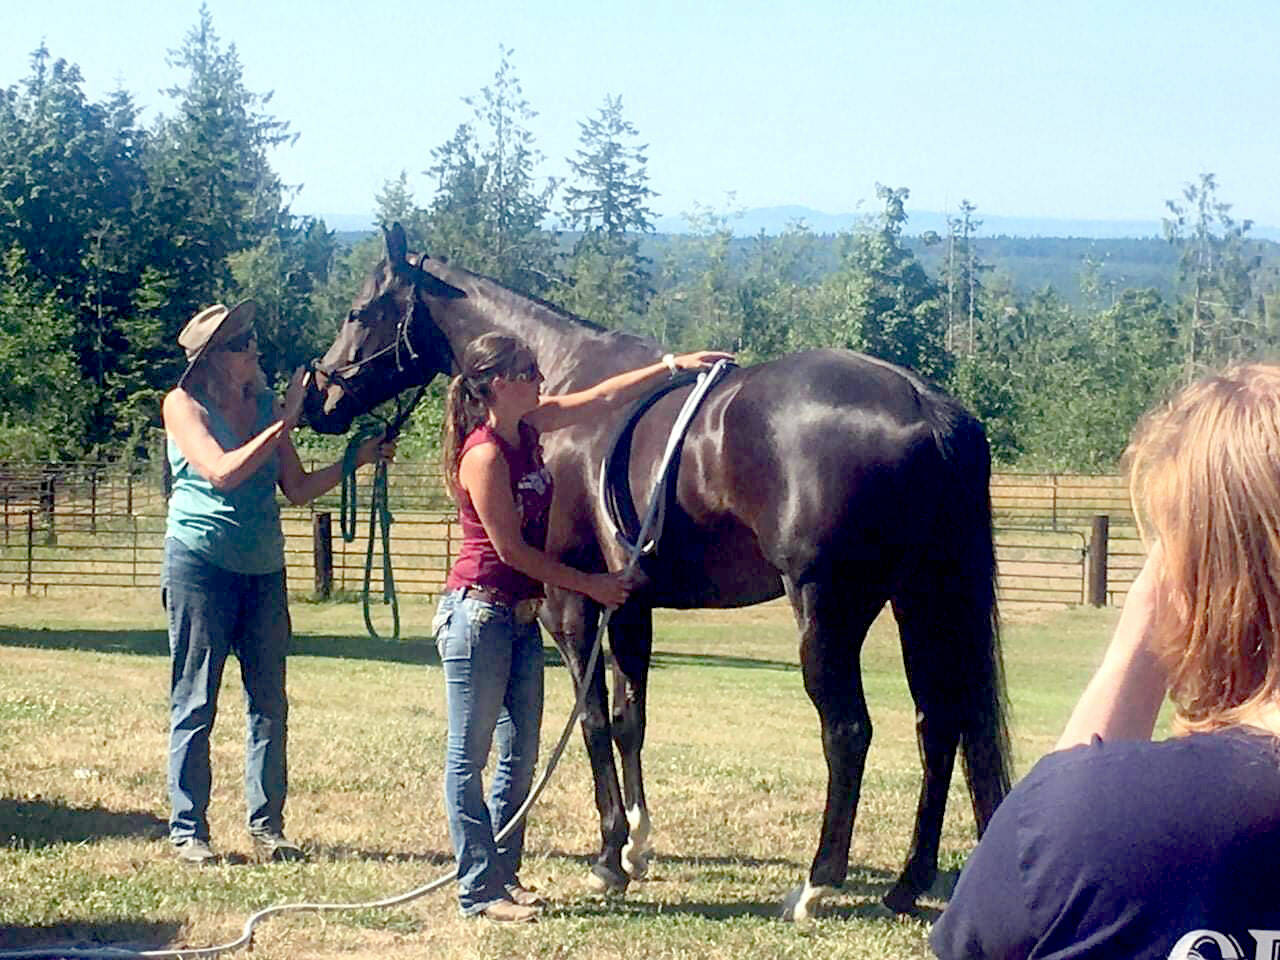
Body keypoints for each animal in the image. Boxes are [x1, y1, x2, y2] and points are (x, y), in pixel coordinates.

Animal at [303, 223, 1012, 919]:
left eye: (359, 310)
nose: (318, 396)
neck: (565, 389)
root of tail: (923, 403)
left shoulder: (573, 602)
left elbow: (592, 722)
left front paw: (608, 858)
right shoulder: (631, 603)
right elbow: (629, 718)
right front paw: (637, 846)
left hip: (829, 609)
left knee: (849, 731)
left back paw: (817, 883)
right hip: (923, 601)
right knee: (939, 725)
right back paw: (907, 883)